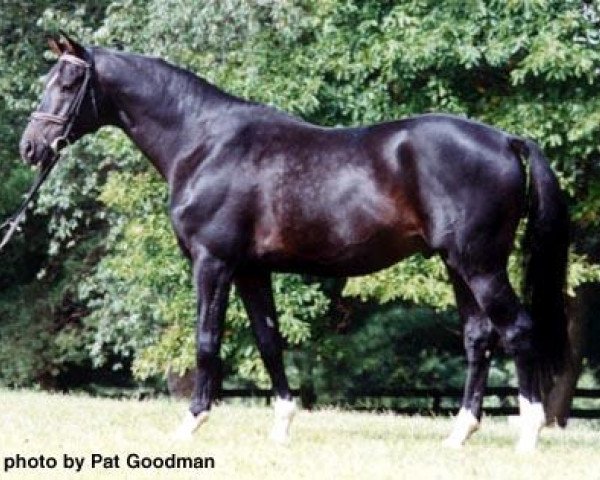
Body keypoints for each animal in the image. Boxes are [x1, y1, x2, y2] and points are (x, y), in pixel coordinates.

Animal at [19, 35, 568, 452]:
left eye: (67, 83)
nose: (30, 147)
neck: (204, 142)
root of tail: (506, 140)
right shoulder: (250, 269)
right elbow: (269, 342)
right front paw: (282, 426)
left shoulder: (212, 263)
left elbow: (206, 342)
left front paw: (191, 423)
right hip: (457, 265)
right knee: (479, 338)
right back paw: (459, 434)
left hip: (480, 264)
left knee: (517, 330)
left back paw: (528, 435)